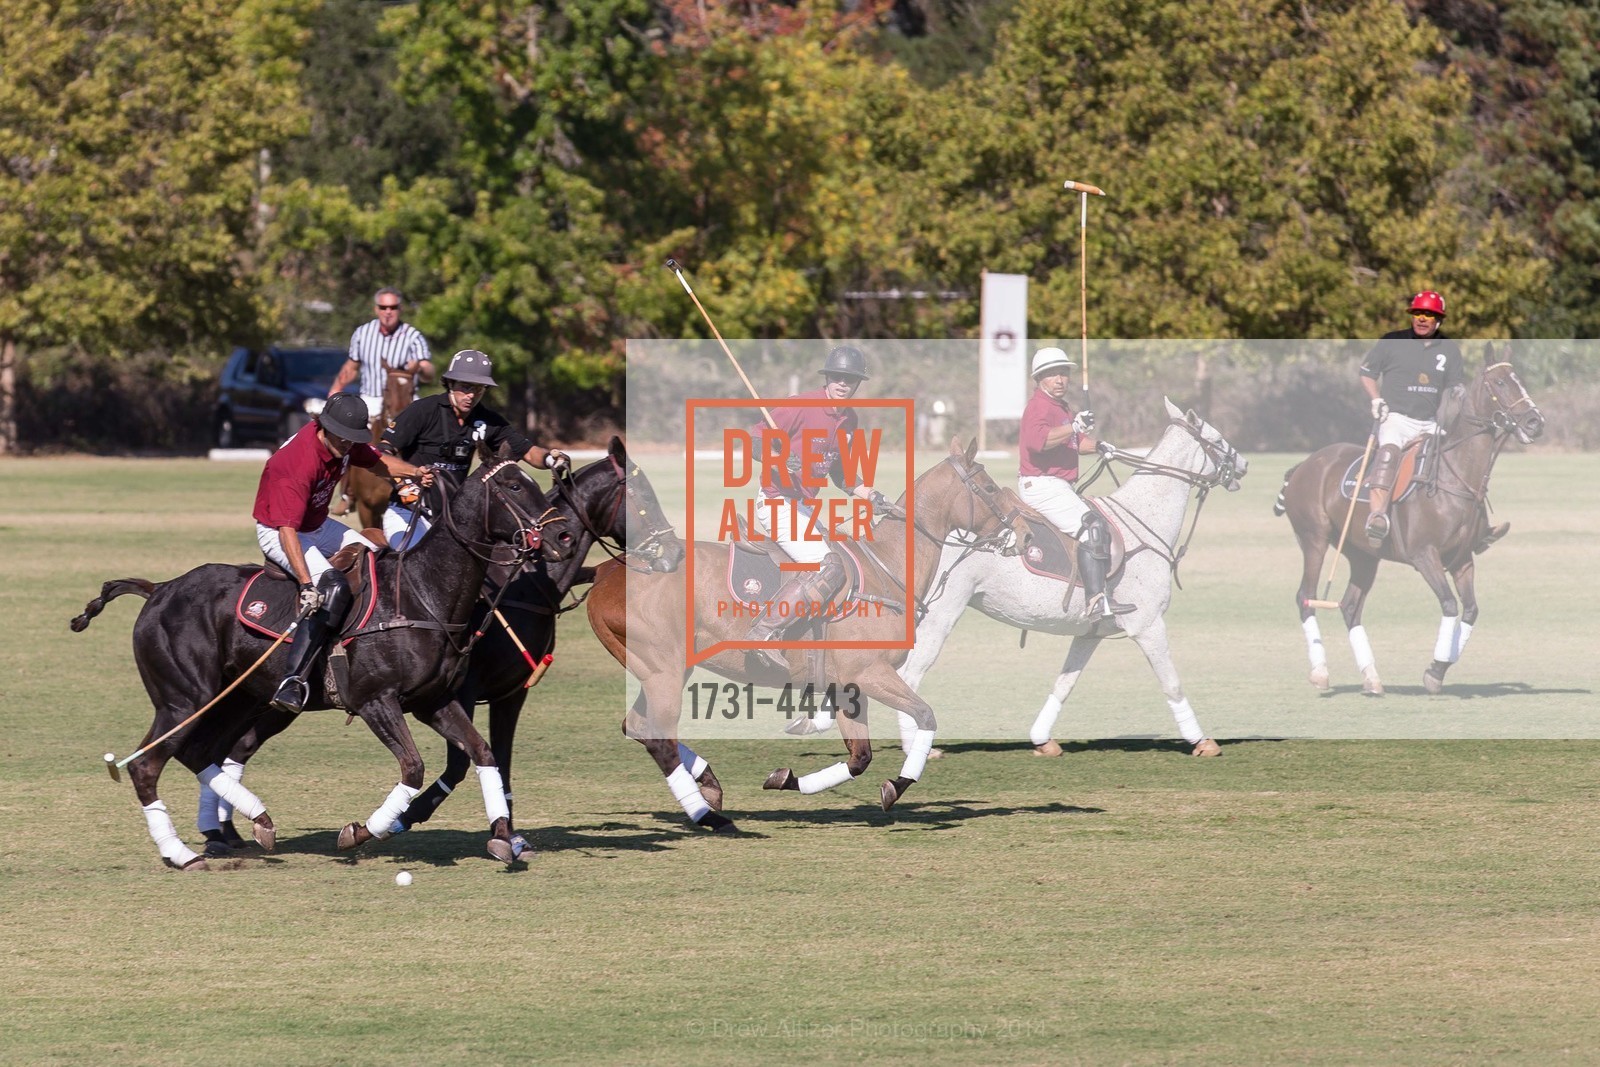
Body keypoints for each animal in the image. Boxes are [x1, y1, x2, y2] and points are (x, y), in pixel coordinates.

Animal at [72, 463, 582, 870]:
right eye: (513, 487)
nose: (563, 536)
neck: (423, 593)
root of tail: (159, 589)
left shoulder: (434, 701)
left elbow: (483, 753)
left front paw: (502, 838)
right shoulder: (377, 700)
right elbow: (413, 767)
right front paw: (362, 831)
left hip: (235, 697)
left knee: (201, 752)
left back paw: (256, 823)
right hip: (183, 700)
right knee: (147, 766)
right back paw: (181, 853)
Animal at [585, 438, 1011, 831]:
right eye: (990, 488)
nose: (1012, 532)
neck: (887, 567)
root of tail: (606, 570)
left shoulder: (846, 687)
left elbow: (860, 757)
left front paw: (783, 778)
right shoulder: (869, 673)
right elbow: (925, 715)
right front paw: (896, 785)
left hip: (659, 668)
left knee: (638, 728)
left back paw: (710, 787)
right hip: (664, 670)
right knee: (658, 734)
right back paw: (707, 813)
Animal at [902, 396, 1248, 755]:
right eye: (1218, 439)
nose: (1244, 464)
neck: (1142, 519)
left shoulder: (1089, 633)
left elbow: (1065, 683)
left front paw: (1042, 740)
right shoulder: (1149, 624)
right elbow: (1172, 684)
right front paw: (1203, 741)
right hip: (939, 615)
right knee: (909, 674)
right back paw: (916, 748)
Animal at [1273, 355, 1536, 697]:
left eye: (1520, 380)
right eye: (1501, 382)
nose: (1535, 421)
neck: (1453, 478)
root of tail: (1303, 466)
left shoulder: (1462, 559)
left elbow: (1470, 610)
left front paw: (1440, 666)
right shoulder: (1424, 554)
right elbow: (1449, 604)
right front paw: (1435, 670)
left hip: (1363, 555)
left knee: (1350, 606)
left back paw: (1372, 678)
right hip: (1313, 538)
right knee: (1306, 596)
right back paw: (1320, 672)